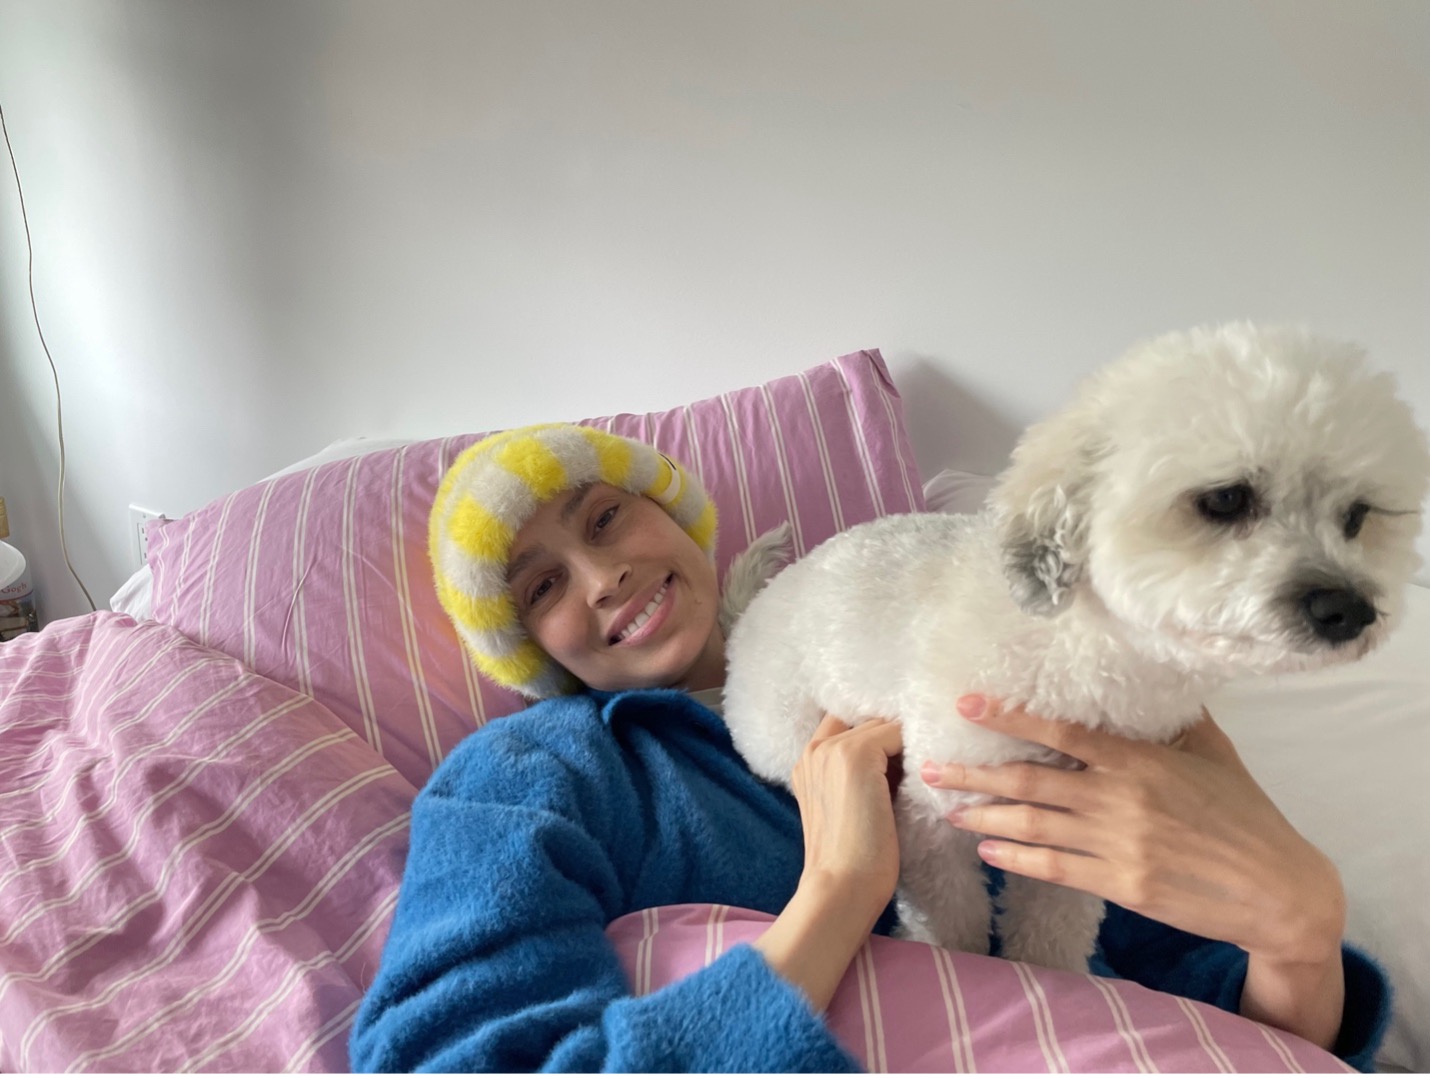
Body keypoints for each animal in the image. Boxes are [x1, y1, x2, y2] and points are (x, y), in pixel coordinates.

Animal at [726, 323, 1430, 972]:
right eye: (1227, 498)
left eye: (1358, 516)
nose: (1350, 610)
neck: (1093, 651)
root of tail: (748, 618)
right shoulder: (937, 819)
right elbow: (951, 923)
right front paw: (965, 963)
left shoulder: (1077, 836)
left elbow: (1053, 927)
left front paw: (1051, 974)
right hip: (782, 732)